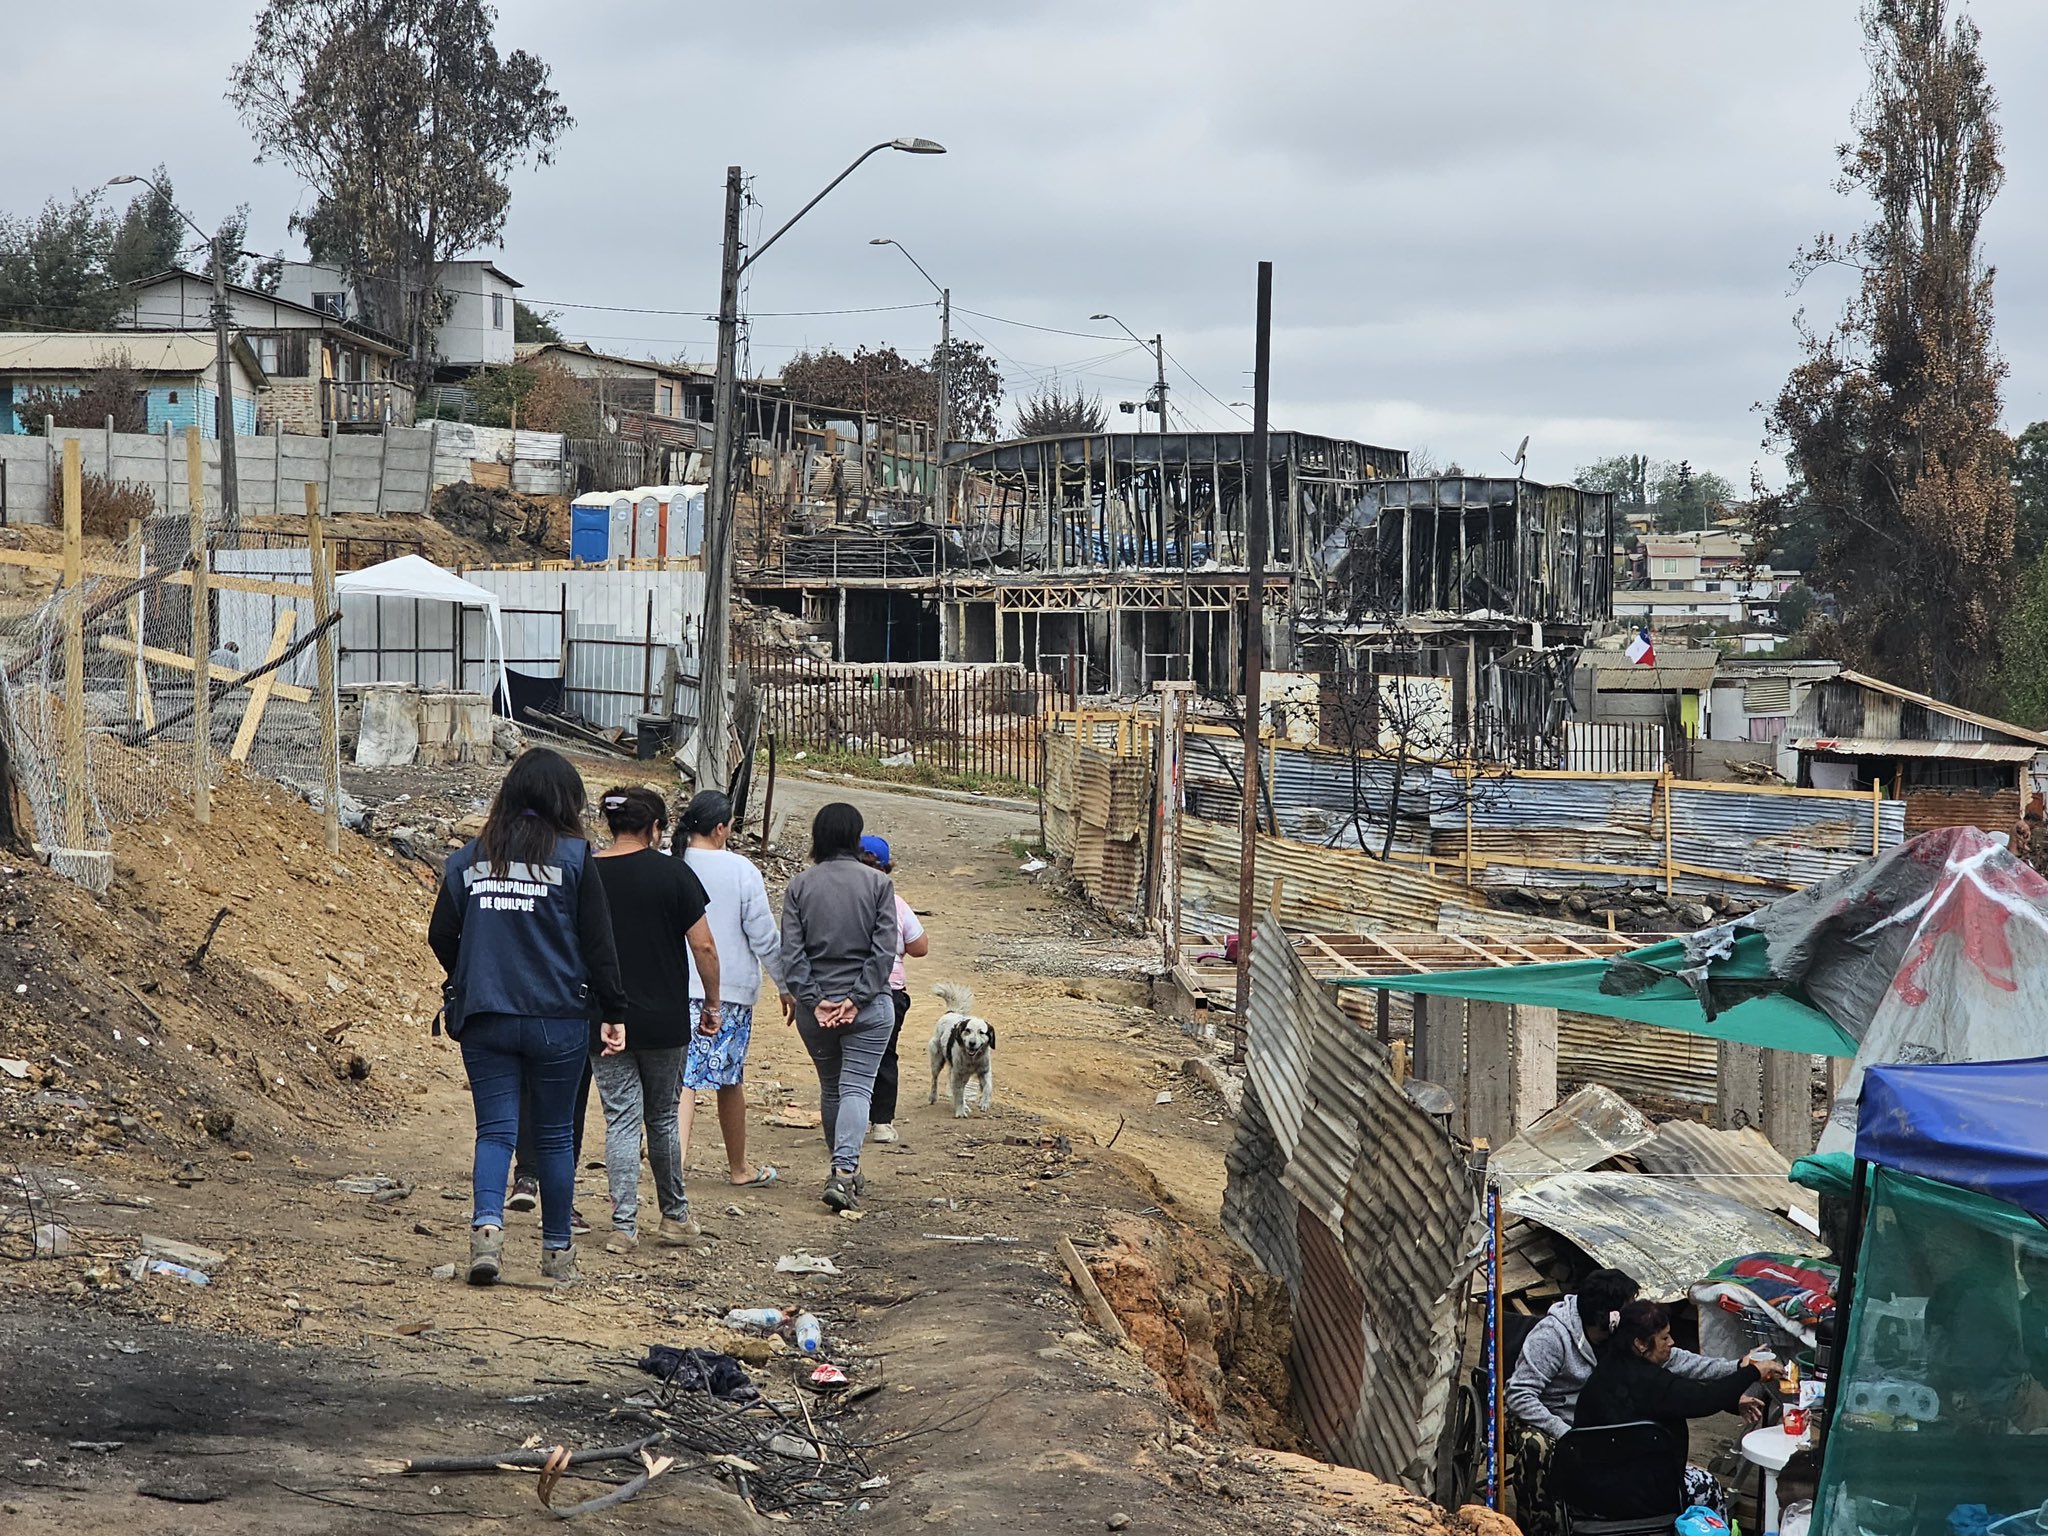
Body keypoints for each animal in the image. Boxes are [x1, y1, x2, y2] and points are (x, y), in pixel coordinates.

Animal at [925, 987, 995, 1122]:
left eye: (981, 1032)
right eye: (967, 1030)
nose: (972, 1043)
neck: (972, 1059)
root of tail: (950, 1012)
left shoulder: (984, 1071)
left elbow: (988, 1087)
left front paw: (984, 1102)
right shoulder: (958, 1075)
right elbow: (959, 1095)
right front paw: (960, 1111)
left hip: (964, 1075)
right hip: (937, 1061)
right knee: (934, 1079)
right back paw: (933, 1096)